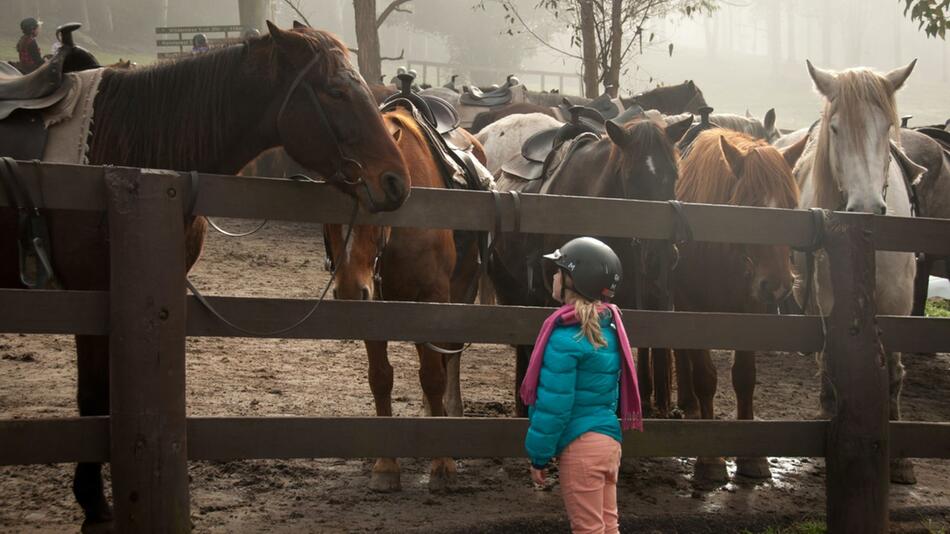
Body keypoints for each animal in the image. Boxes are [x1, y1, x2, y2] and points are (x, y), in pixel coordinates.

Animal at [0, 22, 410, 532]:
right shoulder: (91, 297)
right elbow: (93, 396)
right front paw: (94, 505)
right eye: (335, 91)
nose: (396, 182)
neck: (124, 150)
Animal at [326, 108, 488, 494]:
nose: (350, 291)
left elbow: (433, 376)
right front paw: (386, 466)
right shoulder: (376, 306)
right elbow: (381, 378)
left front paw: (442, 464)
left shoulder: (433, 299)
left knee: (450, 358)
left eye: (378, 204)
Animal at [676, 129, 804, 486]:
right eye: (749, 206)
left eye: (792, 206)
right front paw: (710, 460)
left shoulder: (752, 312)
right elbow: (705, 377)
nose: (777, 285)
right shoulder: (692, 309)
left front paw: (752, 457)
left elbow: (745, 376)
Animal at [792, 59, 924, 486]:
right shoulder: (831, 298)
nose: (866, 206)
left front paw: (900, 460)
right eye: (836, 128)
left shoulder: (899, 301)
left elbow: (894, 370)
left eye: (886, 127)